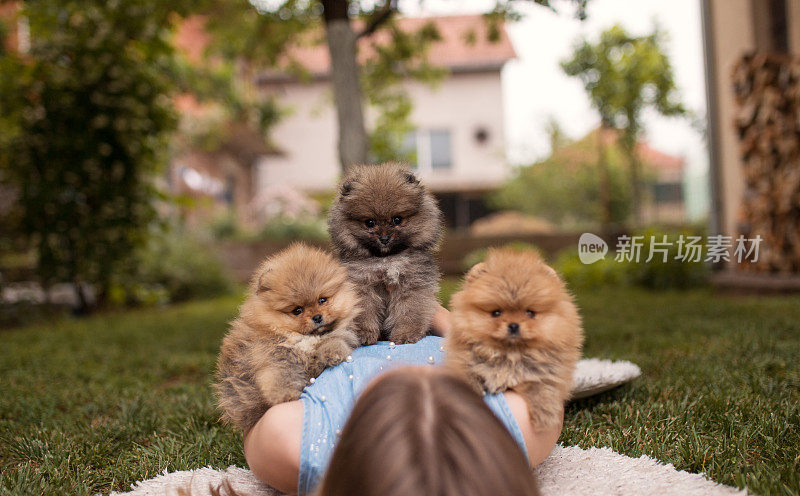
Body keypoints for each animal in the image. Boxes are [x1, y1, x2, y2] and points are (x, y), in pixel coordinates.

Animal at [216, 244, 360, 434]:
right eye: (297, 310)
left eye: (322, 300)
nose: (317, 317)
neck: (302, 339)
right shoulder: (273, 357)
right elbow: (282, 376)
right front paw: (286, 396)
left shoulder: (341, 332)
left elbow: (333, 340)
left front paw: (333, 353)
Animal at [328, 163, 446, 344]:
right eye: (370, 223)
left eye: (397, 220)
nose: (384, 238)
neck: (386, 260)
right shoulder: (361, 284)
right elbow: (364, 311)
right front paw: (364, 333)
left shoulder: (412, 283)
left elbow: (410, 310)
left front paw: (406, 333)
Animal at [444, 248, 580, 430]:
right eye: (496, 313)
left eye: (530, 313)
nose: (514, 325)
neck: (509, 355)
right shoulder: (462, 362)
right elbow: (467, 376)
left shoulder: (547, 374)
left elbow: (544, 389)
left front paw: (545, 418)